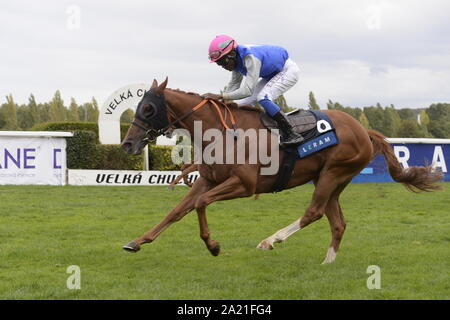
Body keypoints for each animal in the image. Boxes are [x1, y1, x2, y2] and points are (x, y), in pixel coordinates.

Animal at [120, 77, 442, 262]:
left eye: (148, 108)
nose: (127, 144)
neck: (221, 132)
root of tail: (364, 130)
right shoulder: (208, 179)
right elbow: (177, 211)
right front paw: (137, 241)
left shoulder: (244, 184)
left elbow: (199, 203)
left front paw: (213, 245)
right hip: (331, 179)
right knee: (336, 221)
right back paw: (327, 263)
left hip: (333, 173)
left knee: (313, 212)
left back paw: (270, 241)